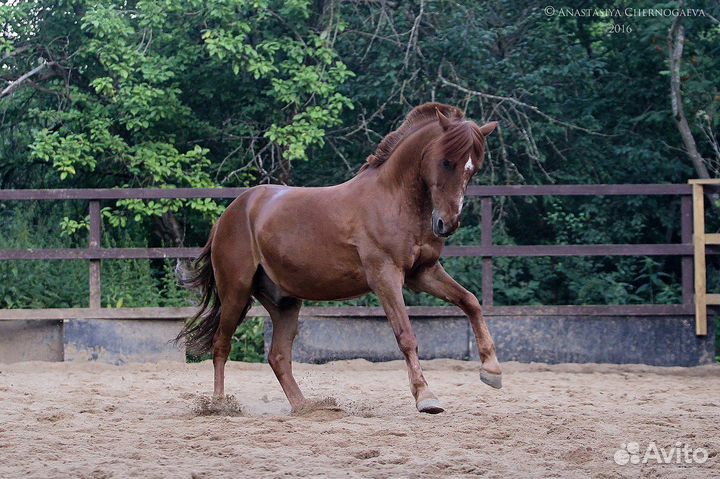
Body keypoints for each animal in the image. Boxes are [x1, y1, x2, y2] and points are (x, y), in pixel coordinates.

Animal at [176, 102, 501, 414]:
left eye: (473, 169)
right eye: (447, 161)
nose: (447, 223)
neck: (394, 199)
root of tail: (229, 214)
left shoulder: (422, 273)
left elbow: (470, 301)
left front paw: (491, 370)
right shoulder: (385, 276)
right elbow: (406, 335)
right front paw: (426, 397)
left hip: (284, 302)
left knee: (278, 356)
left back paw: (306, 407)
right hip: (236, 292)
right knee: (221, 345)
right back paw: (219, 404)